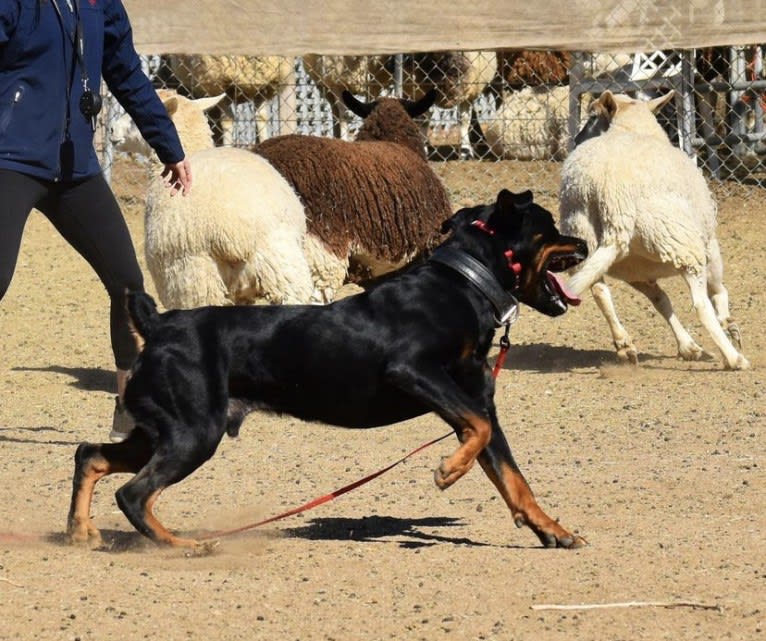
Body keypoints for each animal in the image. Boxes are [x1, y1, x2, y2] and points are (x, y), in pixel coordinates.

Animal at [560, 90, 752, 370]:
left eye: (593, 117)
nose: (574, 139)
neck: (632, 127)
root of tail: (612, 200)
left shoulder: (642, 271)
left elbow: (661, 301)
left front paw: (689, 347)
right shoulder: (709, 243)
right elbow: (718, 290)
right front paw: (729, 325)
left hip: (602, 249)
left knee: (601, 291)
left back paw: (627, 345)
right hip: (679, 243)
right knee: (700, 305)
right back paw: (734, 358)